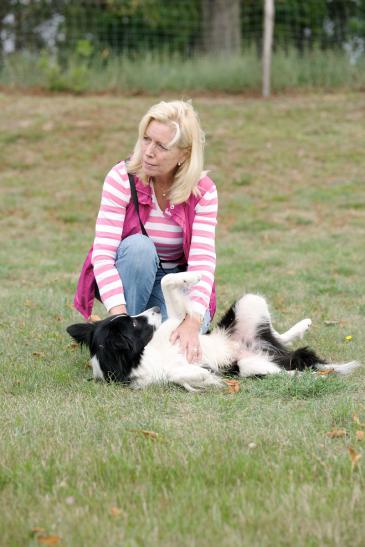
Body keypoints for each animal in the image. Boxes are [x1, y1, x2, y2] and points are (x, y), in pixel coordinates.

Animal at [66, 272, 358, 392]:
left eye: (131, 319)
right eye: (135, 326)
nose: (155, 309)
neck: (148, 351)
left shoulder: (177, 323)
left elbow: (168, 281)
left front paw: (190, 276)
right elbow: (182, 374)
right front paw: (206, 377)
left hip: (251, 302)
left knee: (278, 337)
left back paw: (302, 327)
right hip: (253, 367)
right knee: (293, 371)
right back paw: (317, 376)